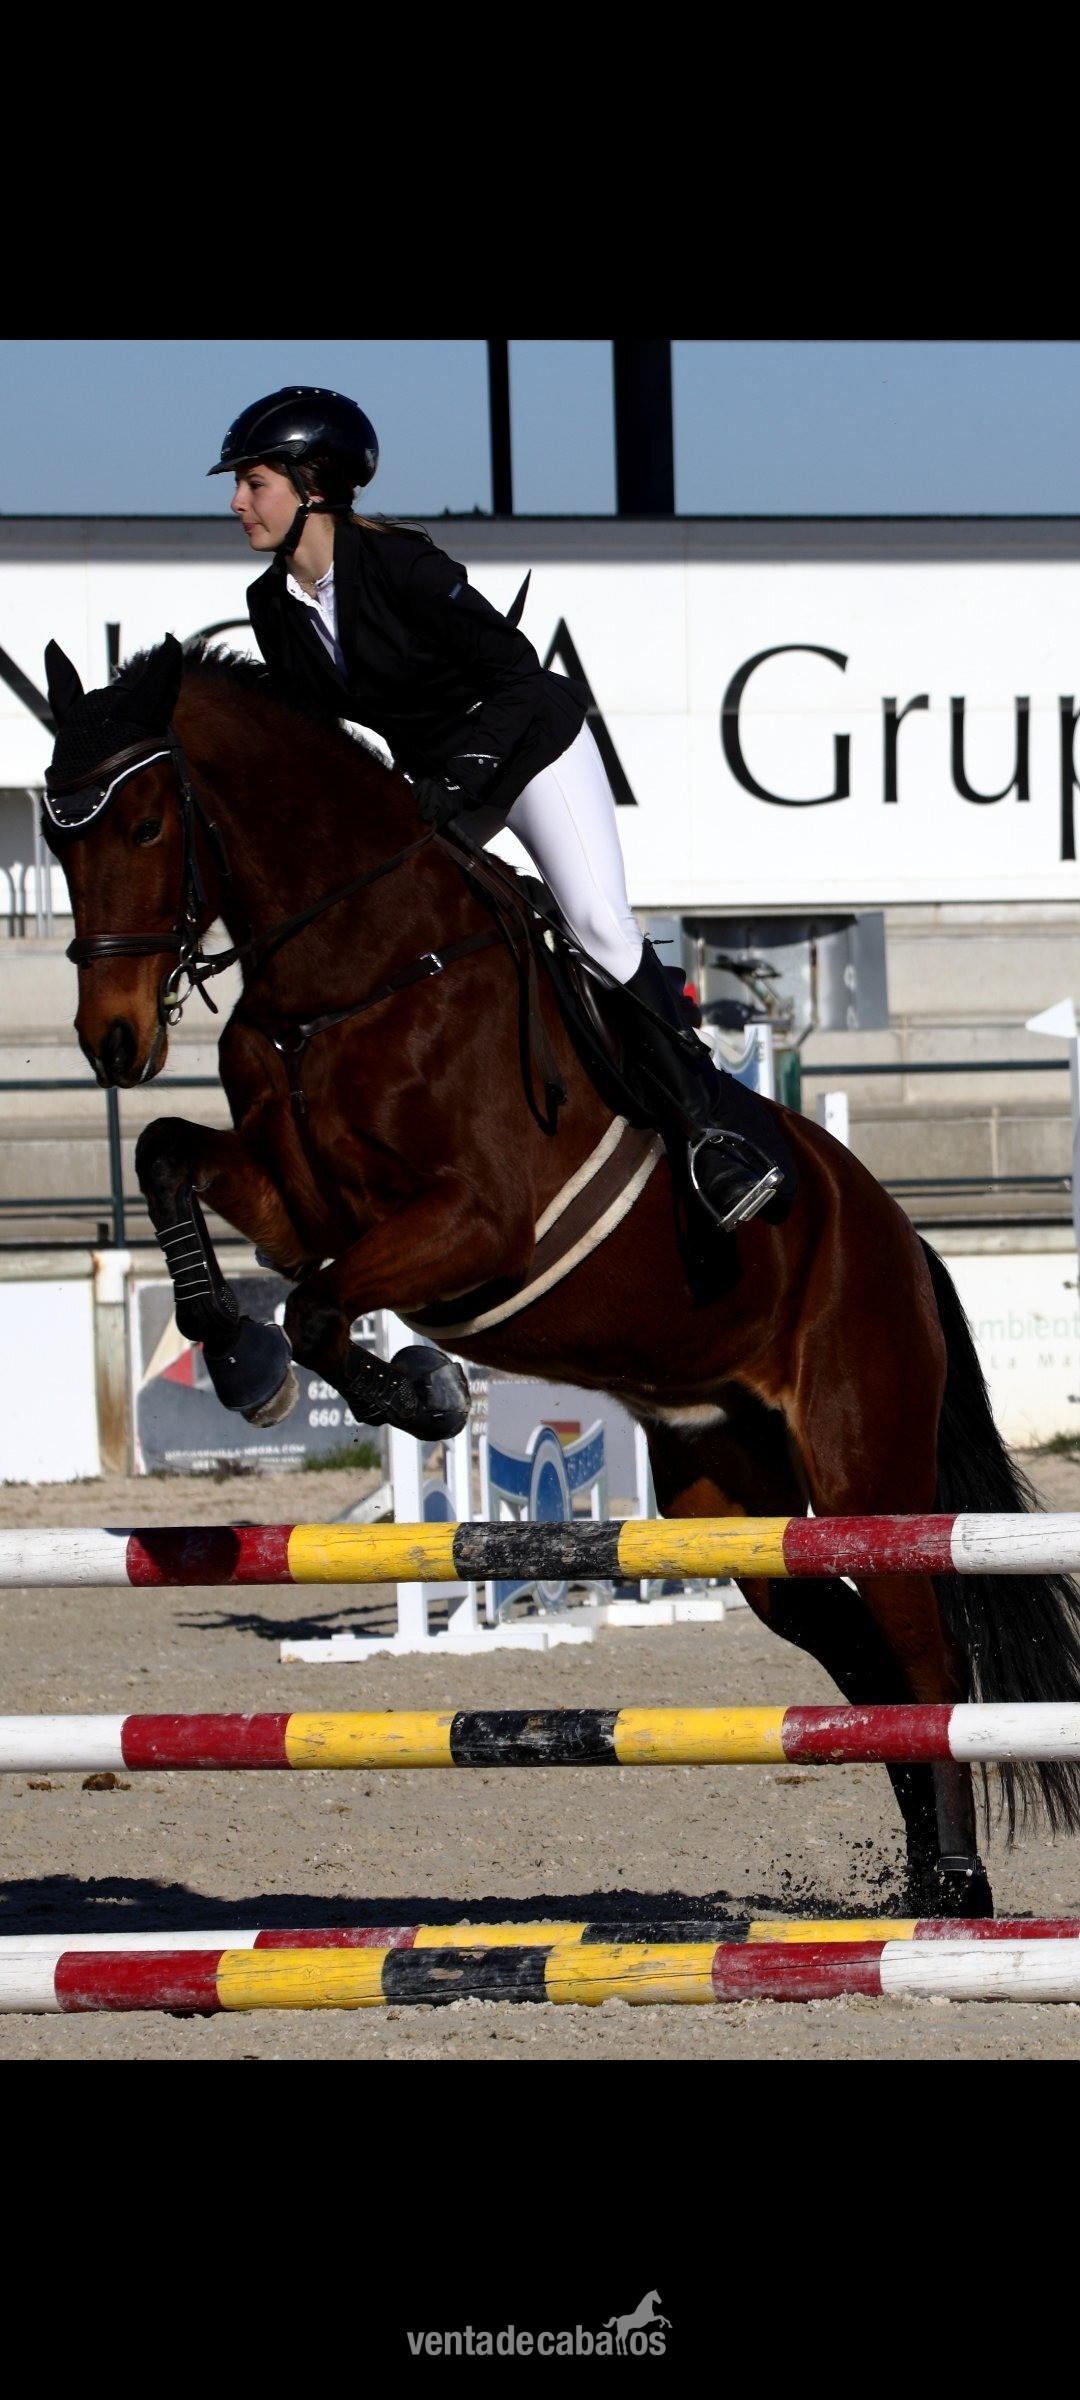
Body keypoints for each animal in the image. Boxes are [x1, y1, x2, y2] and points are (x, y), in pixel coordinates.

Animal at [38, 629, 1080, 1922]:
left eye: (141, 825)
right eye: (54, 840)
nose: (113, 1042)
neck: (352, 971)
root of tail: (902, 1240)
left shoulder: (479, 1225)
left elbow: (322, 1302)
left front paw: (412, 1389)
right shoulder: (294, 1200)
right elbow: (169, 1160)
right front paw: (240, 1358)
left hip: (859, 1460)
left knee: (924, 1649)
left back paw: (958, 1888)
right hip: (731, 1487)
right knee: (850, 1646)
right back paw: (926, 1876)